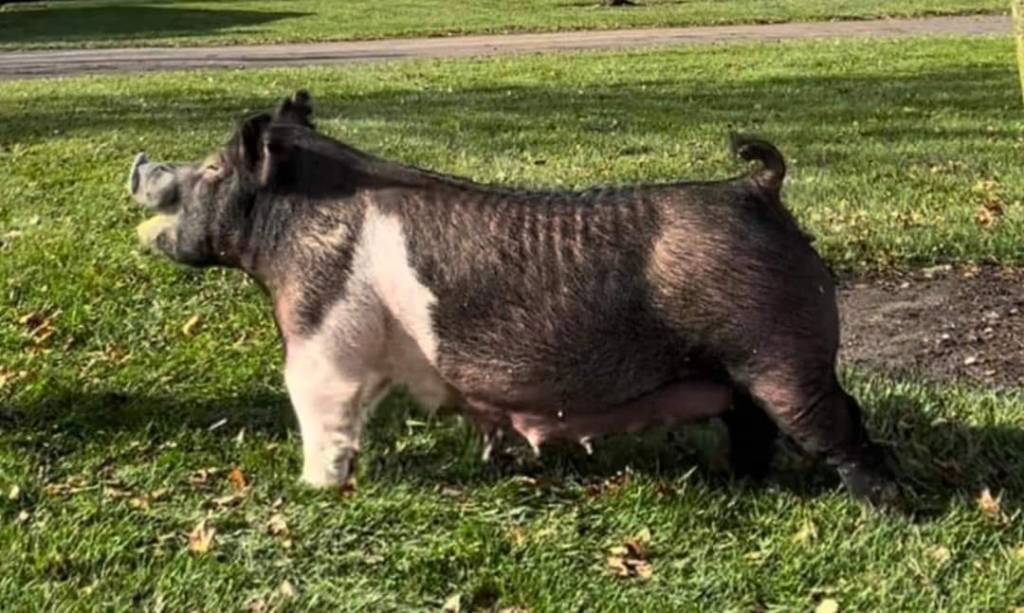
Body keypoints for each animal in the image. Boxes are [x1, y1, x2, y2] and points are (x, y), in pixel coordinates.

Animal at [128, 91, 897, 504]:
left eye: (212, 169)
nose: (139, 162)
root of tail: (756, 187)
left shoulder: (322, 336)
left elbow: (320, 410)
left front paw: (312, 490)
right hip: (744, 369)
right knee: (754, 425)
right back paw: (739, 483)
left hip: (783, 353)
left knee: (840, 424)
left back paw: (884, 508)